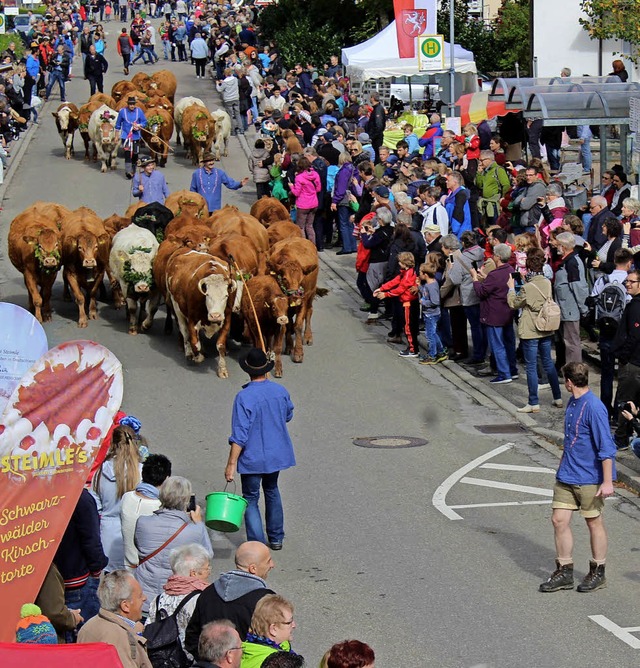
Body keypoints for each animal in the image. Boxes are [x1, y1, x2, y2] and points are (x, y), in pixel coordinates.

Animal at [165, 249, 240, 378]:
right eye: (208, 295)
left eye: (226, 296)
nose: (215, 315)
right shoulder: (192, 320)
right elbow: (195, 343)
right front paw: (198, 357)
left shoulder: (226, 321)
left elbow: (220, 345)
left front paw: (222, 369)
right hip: (177, 308)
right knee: (185, 333)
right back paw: (189, 353)